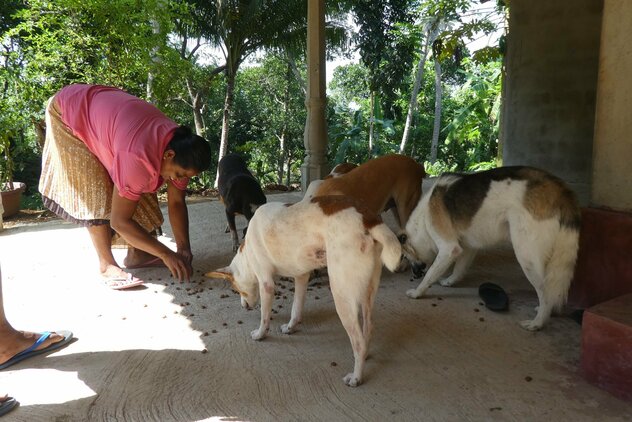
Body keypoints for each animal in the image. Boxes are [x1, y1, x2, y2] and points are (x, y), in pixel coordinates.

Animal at [209, 195, 404, 386]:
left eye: (237, 290)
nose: (244, 306)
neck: (248, 251)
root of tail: (368, 219)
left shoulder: (267, 284)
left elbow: (264, 317)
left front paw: (259, 334)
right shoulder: (302, 277)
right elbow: (296, 309)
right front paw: (290, 327)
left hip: (342, 296)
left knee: (358, 342)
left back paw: (356, 376)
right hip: (367, 294)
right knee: (368, 329)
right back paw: (365, 356)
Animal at [402, 166, 580, 332]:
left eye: (405, 257)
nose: (414, 274)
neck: (423, 218)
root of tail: (560, 189)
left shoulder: (449, 248)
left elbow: (430, 275)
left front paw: (417, 292)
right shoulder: (468, 248)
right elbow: (459, 269)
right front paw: (449, 281)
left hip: (526, 257)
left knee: (545, 294)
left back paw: (538, 322)